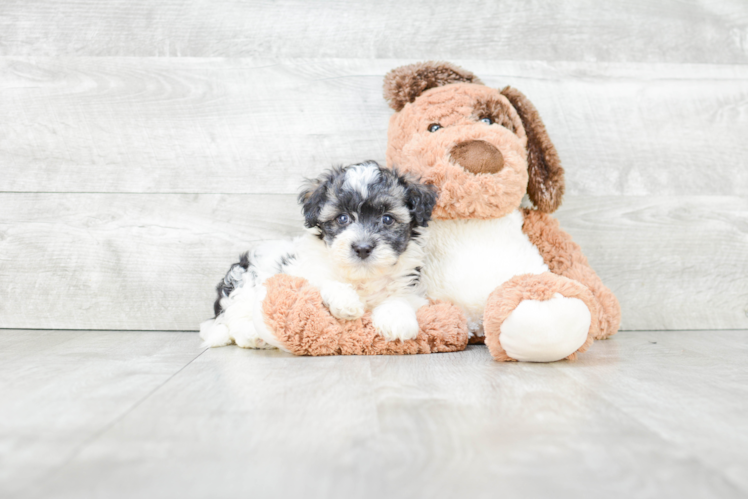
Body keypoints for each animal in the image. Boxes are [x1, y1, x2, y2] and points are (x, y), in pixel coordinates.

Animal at [199, 162, 438, 350]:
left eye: (387, 219)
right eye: (342, 218)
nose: (362, 247)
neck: (362, 276)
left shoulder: (411, 285)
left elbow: (400, 297)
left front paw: (397, 320)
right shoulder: (304, 272)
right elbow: (324, 282)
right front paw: (346, 301)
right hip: (245, 283)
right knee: (235, 318)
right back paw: (254, 334)